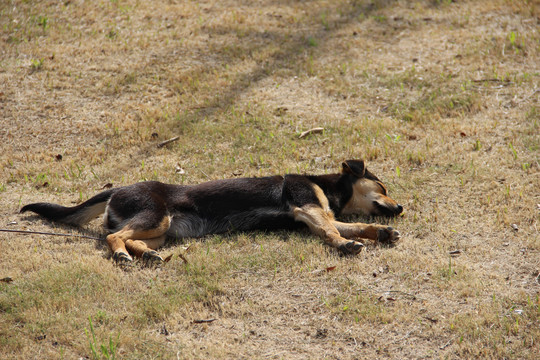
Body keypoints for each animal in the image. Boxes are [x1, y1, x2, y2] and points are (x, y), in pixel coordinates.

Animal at [20, 160, 400, 262]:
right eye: (383, 188)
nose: (400, 207)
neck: (326, 186)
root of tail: (117, 189)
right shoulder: (309, 209)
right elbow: (334, 232)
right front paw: (345, 246)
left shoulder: (316, 215)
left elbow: (354, 227)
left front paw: (381, 233)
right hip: (155, 217)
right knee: (114, 237)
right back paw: (121, 256)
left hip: (160, 231)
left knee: (132, 239)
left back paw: (147, 257)